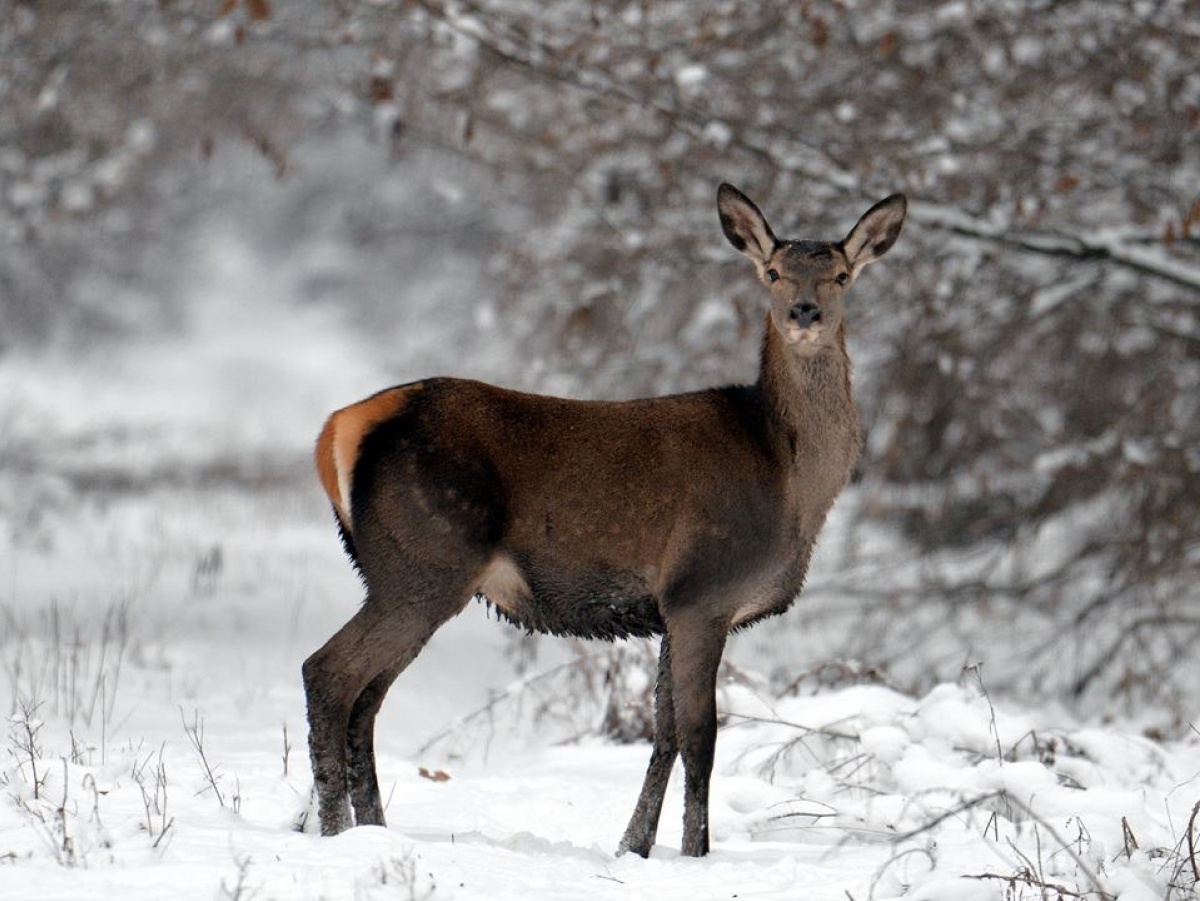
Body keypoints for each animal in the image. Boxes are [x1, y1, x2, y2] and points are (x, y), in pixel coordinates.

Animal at [304, 183, 902, 859]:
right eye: (773, 272)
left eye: (842, 275)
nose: (804, 311)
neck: (790, 480)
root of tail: (339, 429)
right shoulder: (703, 589)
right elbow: (701, 735)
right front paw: (696, 853)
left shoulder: (673, 605)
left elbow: (664, 729)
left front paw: (634, 846)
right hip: (424, 559)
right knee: (328, 673)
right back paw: (336, 833)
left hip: (405, 572)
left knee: (366, 699)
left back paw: (372, 830)